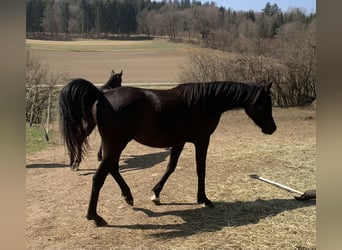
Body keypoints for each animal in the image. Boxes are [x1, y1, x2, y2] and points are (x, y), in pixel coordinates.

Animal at [59, 79, 276, 226]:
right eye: (264, 104)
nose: (272, 129)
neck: (204, 102)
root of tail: (102, 95)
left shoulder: (179, 142)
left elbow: (171, 167)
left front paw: (156, 194)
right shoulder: (202, 141)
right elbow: (201, 170)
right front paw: (204, 199)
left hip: (115, 145)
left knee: (112, 168)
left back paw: (128, 196)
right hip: (116, 144)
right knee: (99, 177)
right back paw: (95, 216)